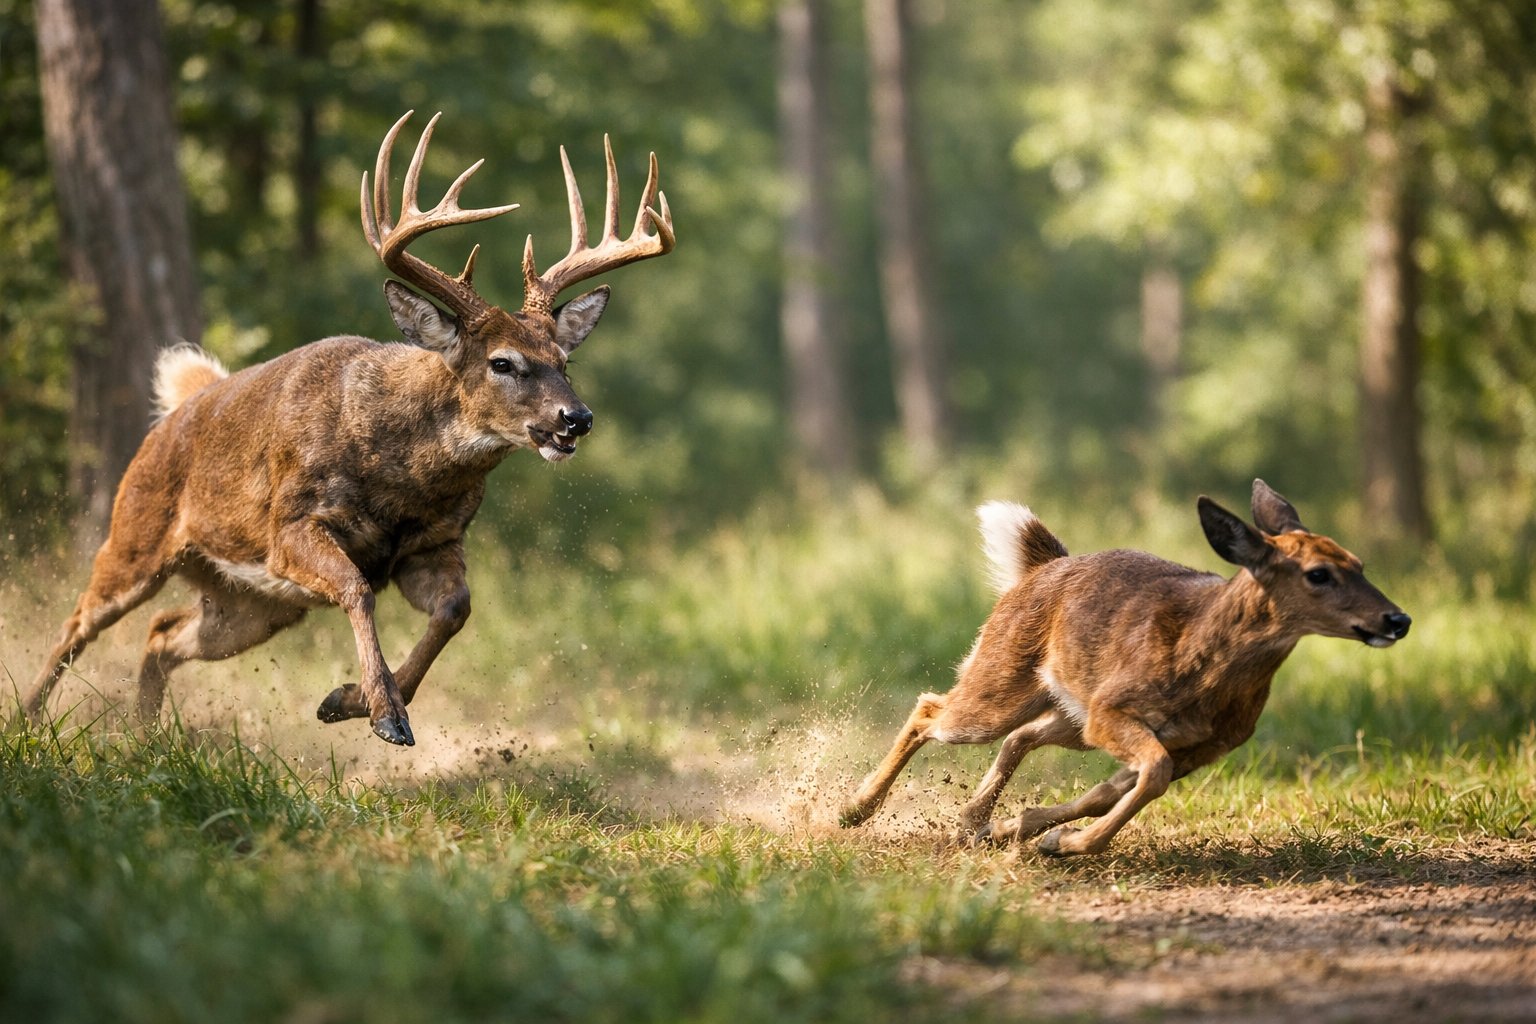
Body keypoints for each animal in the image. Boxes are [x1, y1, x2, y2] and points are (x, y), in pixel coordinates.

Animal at [21, 110, 675, 746]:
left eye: (565, 362)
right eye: (502, 362)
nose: (576, 418)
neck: (402, 481)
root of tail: (182, 408)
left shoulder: (434, 544)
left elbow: (456, 609)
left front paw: (347, 700)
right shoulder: (290, 526)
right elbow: (358, 588)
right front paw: (384, 713)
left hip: (252, 601)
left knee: (160, 634)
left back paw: (146, 736)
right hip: (136, 535)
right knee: (78, 622)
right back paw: (27, 722)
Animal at [839, 480, 1411, 856]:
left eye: (1360, 565)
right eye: (1318, 574)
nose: (1398, 618)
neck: (1206, 669)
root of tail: (1042, 568)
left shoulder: (1204, 745)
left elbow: (1111, 792)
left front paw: (1037, 833)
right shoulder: (1115, 712)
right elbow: (1148, 777)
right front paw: (1067, 843)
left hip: (1069, 714)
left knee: (1020, 735)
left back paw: (972, 823)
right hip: (1004, 683)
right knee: (931, 709)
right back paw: (854, 811)